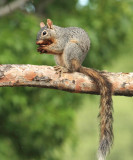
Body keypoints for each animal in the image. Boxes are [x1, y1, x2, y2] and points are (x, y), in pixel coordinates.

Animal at [36, 18, 113, 160]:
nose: (37, 41)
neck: (56, 33)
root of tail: (79, 65)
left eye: (44, 33)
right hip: (59, 58)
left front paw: (44, 47)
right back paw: (60, 67)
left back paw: (66, 69)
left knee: (71, 68)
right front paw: (42, 47)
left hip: (71, 49)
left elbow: (58, 47)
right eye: (38, 32)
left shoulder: (63, 40)